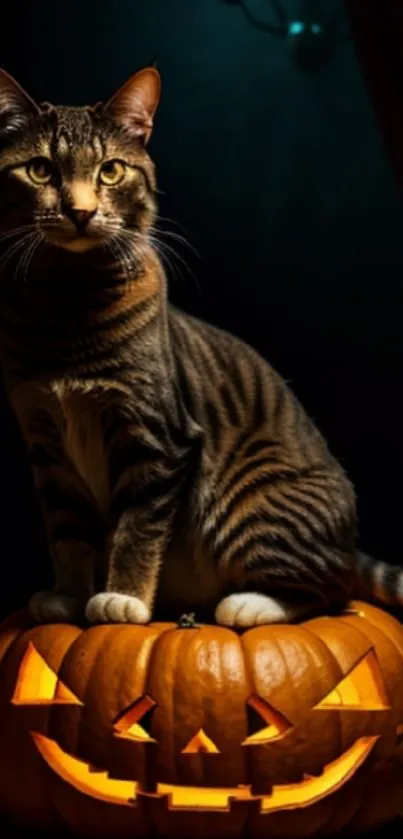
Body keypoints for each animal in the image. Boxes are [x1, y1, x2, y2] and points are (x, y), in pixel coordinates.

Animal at [0, 67, 400, 624]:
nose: (80, 212)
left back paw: (251, 603)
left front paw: (122, 598)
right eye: (40, 170)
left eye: (110, 171)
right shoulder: (46, 443)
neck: (65, 304)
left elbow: (137, 529)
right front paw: (70, 594)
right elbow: (67, 532)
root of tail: (348, 542)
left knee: (334, 590)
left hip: (249, 496)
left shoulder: (158, 437)